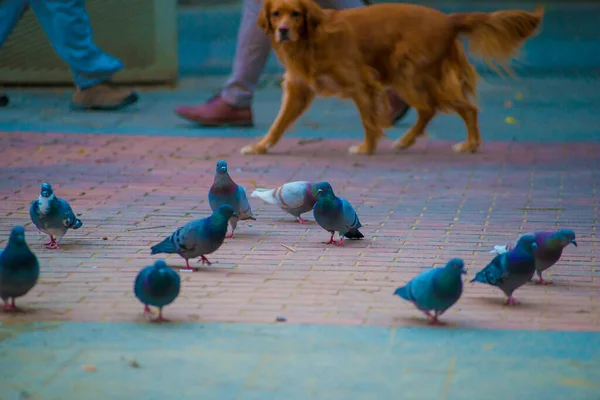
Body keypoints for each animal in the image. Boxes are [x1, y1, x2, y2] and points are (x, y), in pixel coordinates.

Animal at [239, 0, 544, 156]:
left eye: (296, 14)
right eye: (276, 13)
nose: (283, 30)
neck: (310, 41)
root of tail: (448, 19)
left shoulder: (361, 83)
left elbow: (367, 120)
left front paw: (366, 148)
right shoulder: (298, 90)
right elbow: (278, 124)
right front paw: (260, 146)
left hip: (412, 75)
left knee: (463, 108)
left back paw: (470, 144)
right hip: (408, 78)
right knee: (429, 110)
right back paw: (406, 141)